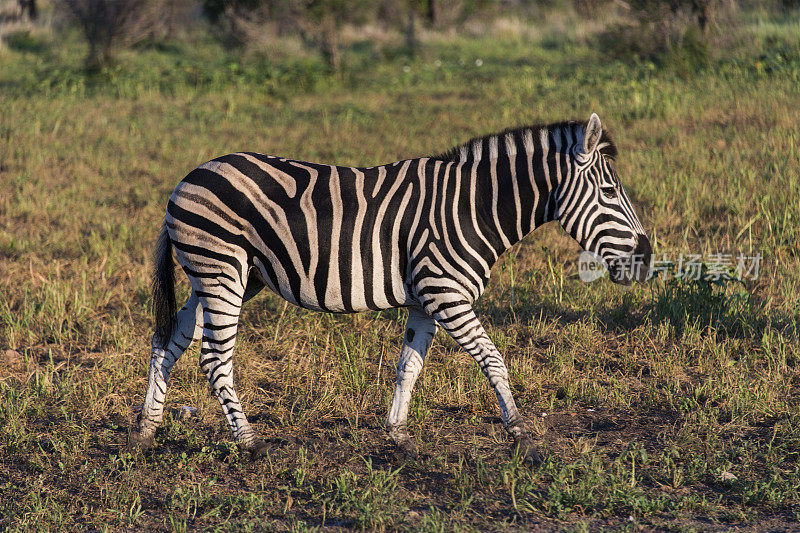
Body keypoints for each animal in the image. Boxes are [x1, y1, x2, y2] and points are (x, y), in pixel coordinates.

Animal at [130, 112, 648, 462]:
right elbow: (493, 358)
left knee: (169, 338)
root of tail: (186, 180)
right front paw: (521, 435)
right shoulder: (445, 291)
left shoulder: (426, 299)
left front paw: (398, 434)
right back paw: (248, 442)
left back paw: (147, 429)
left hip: (222, 277)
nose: (645, 257)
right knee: (213, 357)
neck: (472, 207)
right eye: (609, 193)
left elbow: (409, 367)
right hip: (222, 271)